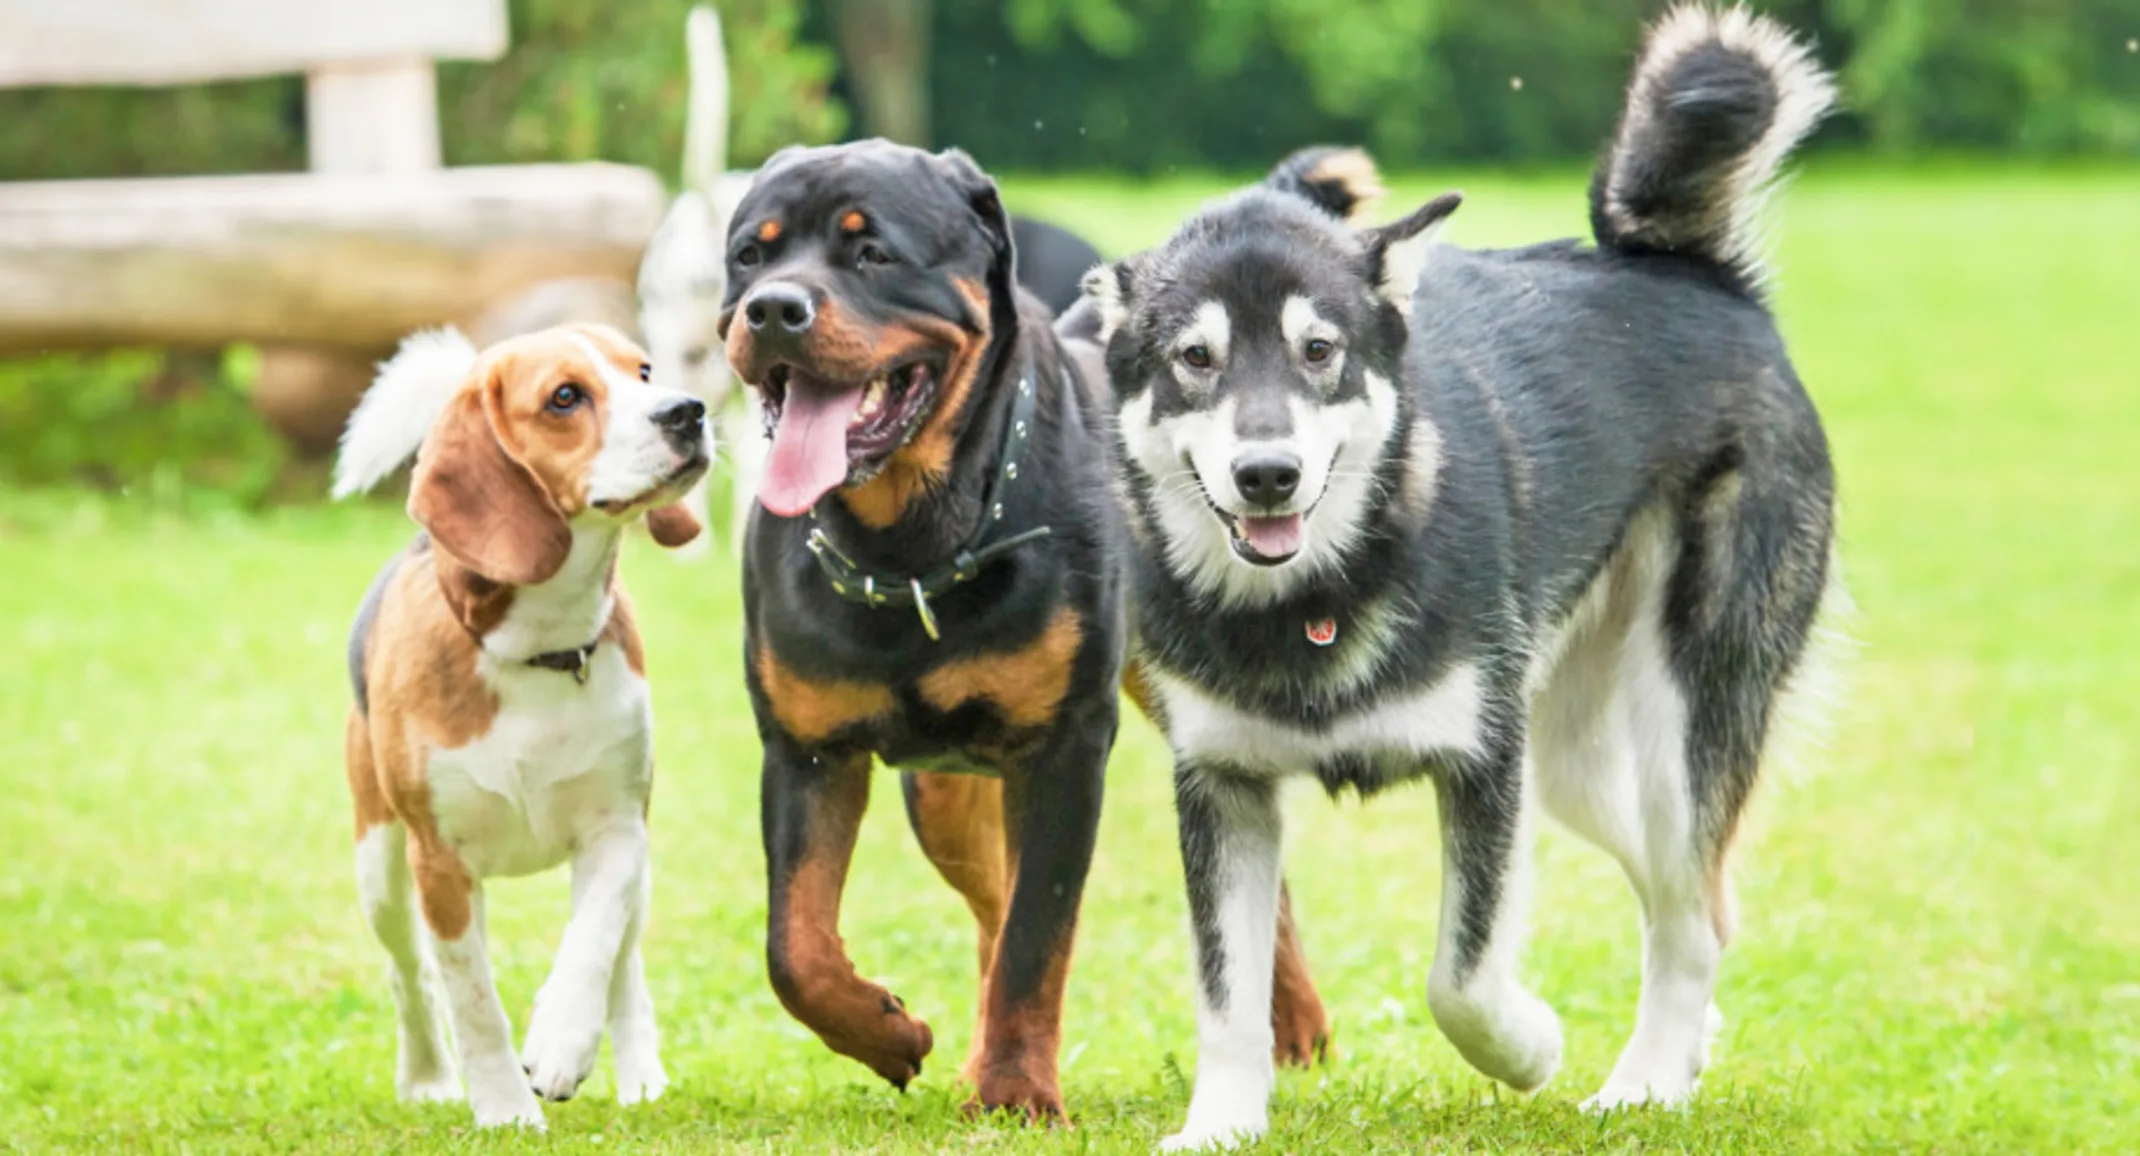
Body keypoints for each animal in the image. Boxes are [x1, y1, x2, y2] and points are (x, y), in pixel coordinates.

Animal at [1078, 6, 1848, 1147]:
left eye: (1320, 351)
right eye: (1193, 359)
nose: (1268, 474)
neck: (1318, 597)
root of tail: (1698, 275)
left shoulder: (1484, 765)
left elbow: (1462, 976)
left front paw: (1529, 1048)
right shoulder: (1221, 783)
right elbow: (1227, 992)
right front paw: (1218, 1124)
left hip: (1672, 724)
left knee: (1689, 907)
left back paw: (1645, 1081)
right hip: (1572, 761)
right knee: (1704, 898)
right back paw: (1686, 1047)